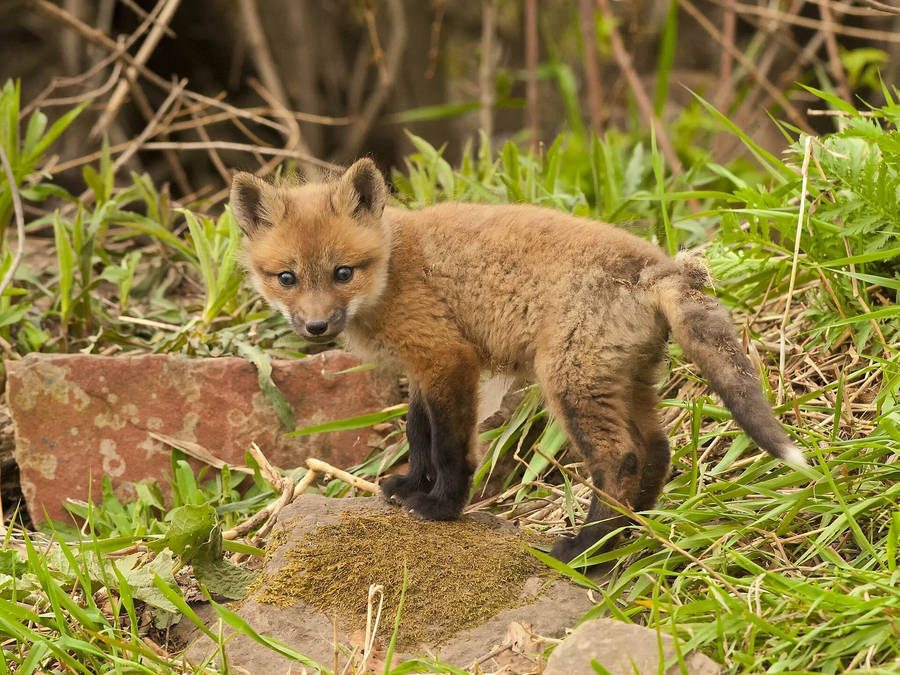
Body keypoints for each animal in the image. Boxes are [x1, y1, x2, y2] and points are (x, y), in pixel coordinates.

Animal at [231, 158, 806, 565]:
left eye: (343, 272)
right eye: (287, 278)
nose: (316, 327)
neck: (393, 268)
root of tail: (656, 267)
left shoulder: (448, 359)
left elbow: (449, 447)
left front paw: (442, 507)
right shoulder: (423, 368)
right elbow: (419, 435)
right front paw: (409, 487)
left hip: (568, 384)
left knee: (620, 458)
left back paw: (584, 551)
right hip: (626, 380)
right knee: (657, 450)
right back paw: (628, 536)